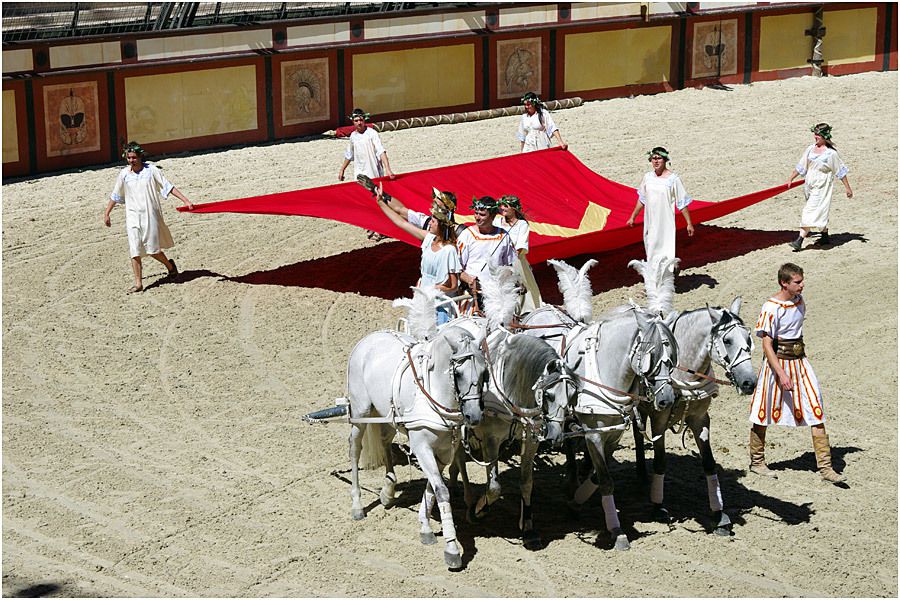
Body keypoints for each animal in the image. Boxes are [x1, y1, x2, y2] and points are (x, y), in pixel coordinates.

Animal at [344, 286, 488, 568]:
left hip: (387, 415)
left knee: (385, 441)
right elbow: (441, 490)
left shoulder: (444, 450)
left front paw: (425, 527)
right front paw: (452, 548)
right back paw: (356, 506)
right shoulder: (422, 446)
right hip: (361, 412)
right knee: (354, 448)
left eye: (484, 373)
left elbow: (433, 487)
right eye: (458, 373)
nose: (474, 416)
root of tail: (369, 339)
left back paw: (388, 491)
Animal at [516, 258, 680, 548]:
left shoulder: (613, 431)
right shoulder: (593, 431)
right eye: (651, 355)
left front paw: (576, 501)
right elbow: (604, 479)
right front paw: (616, 530)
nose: (666, 398)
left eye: (672, 356)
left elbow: (598, 472)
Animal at [628, 255, 756, 536]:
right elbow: (661, 462)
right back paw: (640, 472)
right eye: (727, 340)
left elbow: (708, 463)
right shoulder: (659, 420)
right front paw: (658, 507)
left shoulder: (700, 419)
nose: (750, 382)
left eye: (749, 338)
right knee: (637, 432)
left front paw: (719, 514)